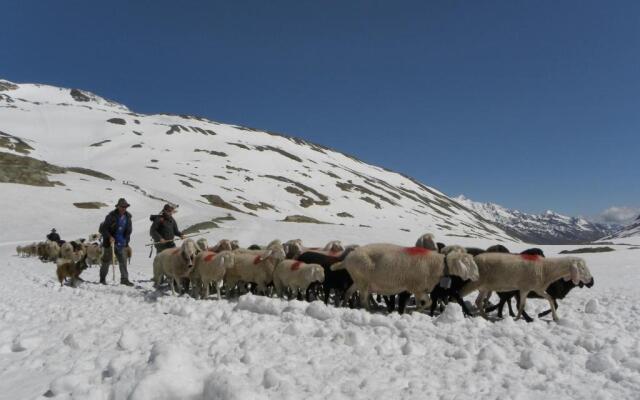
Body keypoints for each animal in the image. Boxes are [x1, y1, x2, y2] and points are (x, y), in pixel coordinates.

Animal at [332, 244, 478, 312]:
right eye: (467, 262)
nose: (477, 276)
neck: (438, 265)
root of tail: (347, 259)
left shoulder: (419, 289)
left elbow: (423, 302)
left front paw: (417, 310)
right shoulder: (417, 288)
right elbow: (429, 302)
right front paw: (417, 311)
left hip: (358, 280)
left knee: (348, 292)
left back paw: (343, 305)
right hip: (363, 281)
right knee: (363, 299)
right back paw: (368, 310)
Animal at [462, 253, 592, 322]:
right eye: (582, 268)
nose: (590, 280)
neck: (546, 269)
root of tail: (474, 258)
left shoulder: (537, 288)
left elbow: (549, 299)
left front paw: (555, 317)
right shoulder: (525, 288)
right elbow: (521, 305)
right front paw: (517, 319)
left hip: (485, 287)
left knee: (478, 301)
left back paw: (485, 317)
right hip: (475, 282)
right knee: (461, 293)